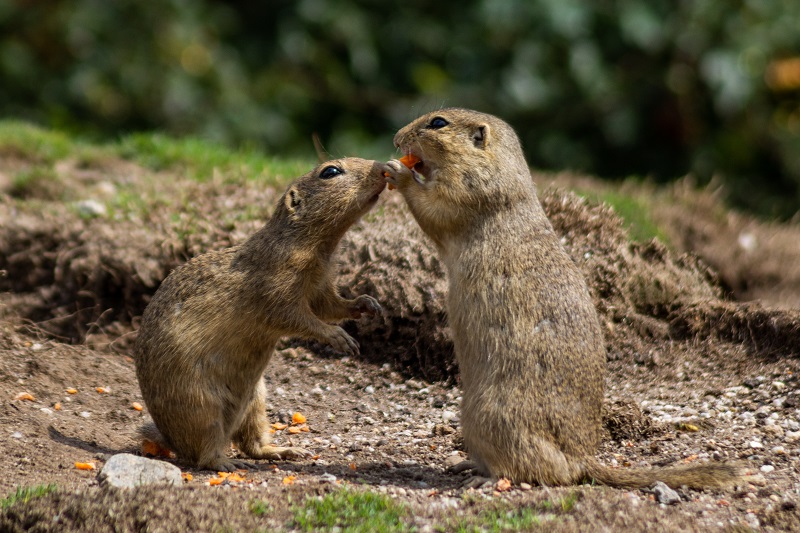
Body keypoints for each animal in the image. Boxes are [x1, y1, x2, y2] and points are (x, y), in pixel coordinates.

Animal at [134, 158, 386, 471]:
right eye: (330, 172)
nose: (384, 168)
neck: (316, 246)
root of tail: (171, 440)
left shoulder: (321, 287)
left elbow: (333, 307)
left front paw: (368, 304)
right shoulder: (276, 289)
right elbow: (298, 318)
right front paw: (339, 337)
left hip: (256, 401)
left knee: (250, 443)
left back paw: (285, 451)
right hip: (200, 406)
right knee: (203, 454)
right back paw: (226, 463)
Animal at [383, 108, 743, 489]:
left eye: (438, 123)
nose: (396, 138)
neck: (502, 170)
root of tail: (582, 460)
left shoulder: (466, 193)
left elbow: (432, 207)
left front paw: (397, 171)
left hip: (490, 416)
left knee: (529, 469)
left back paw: (484, 479)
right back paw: (467, 465)